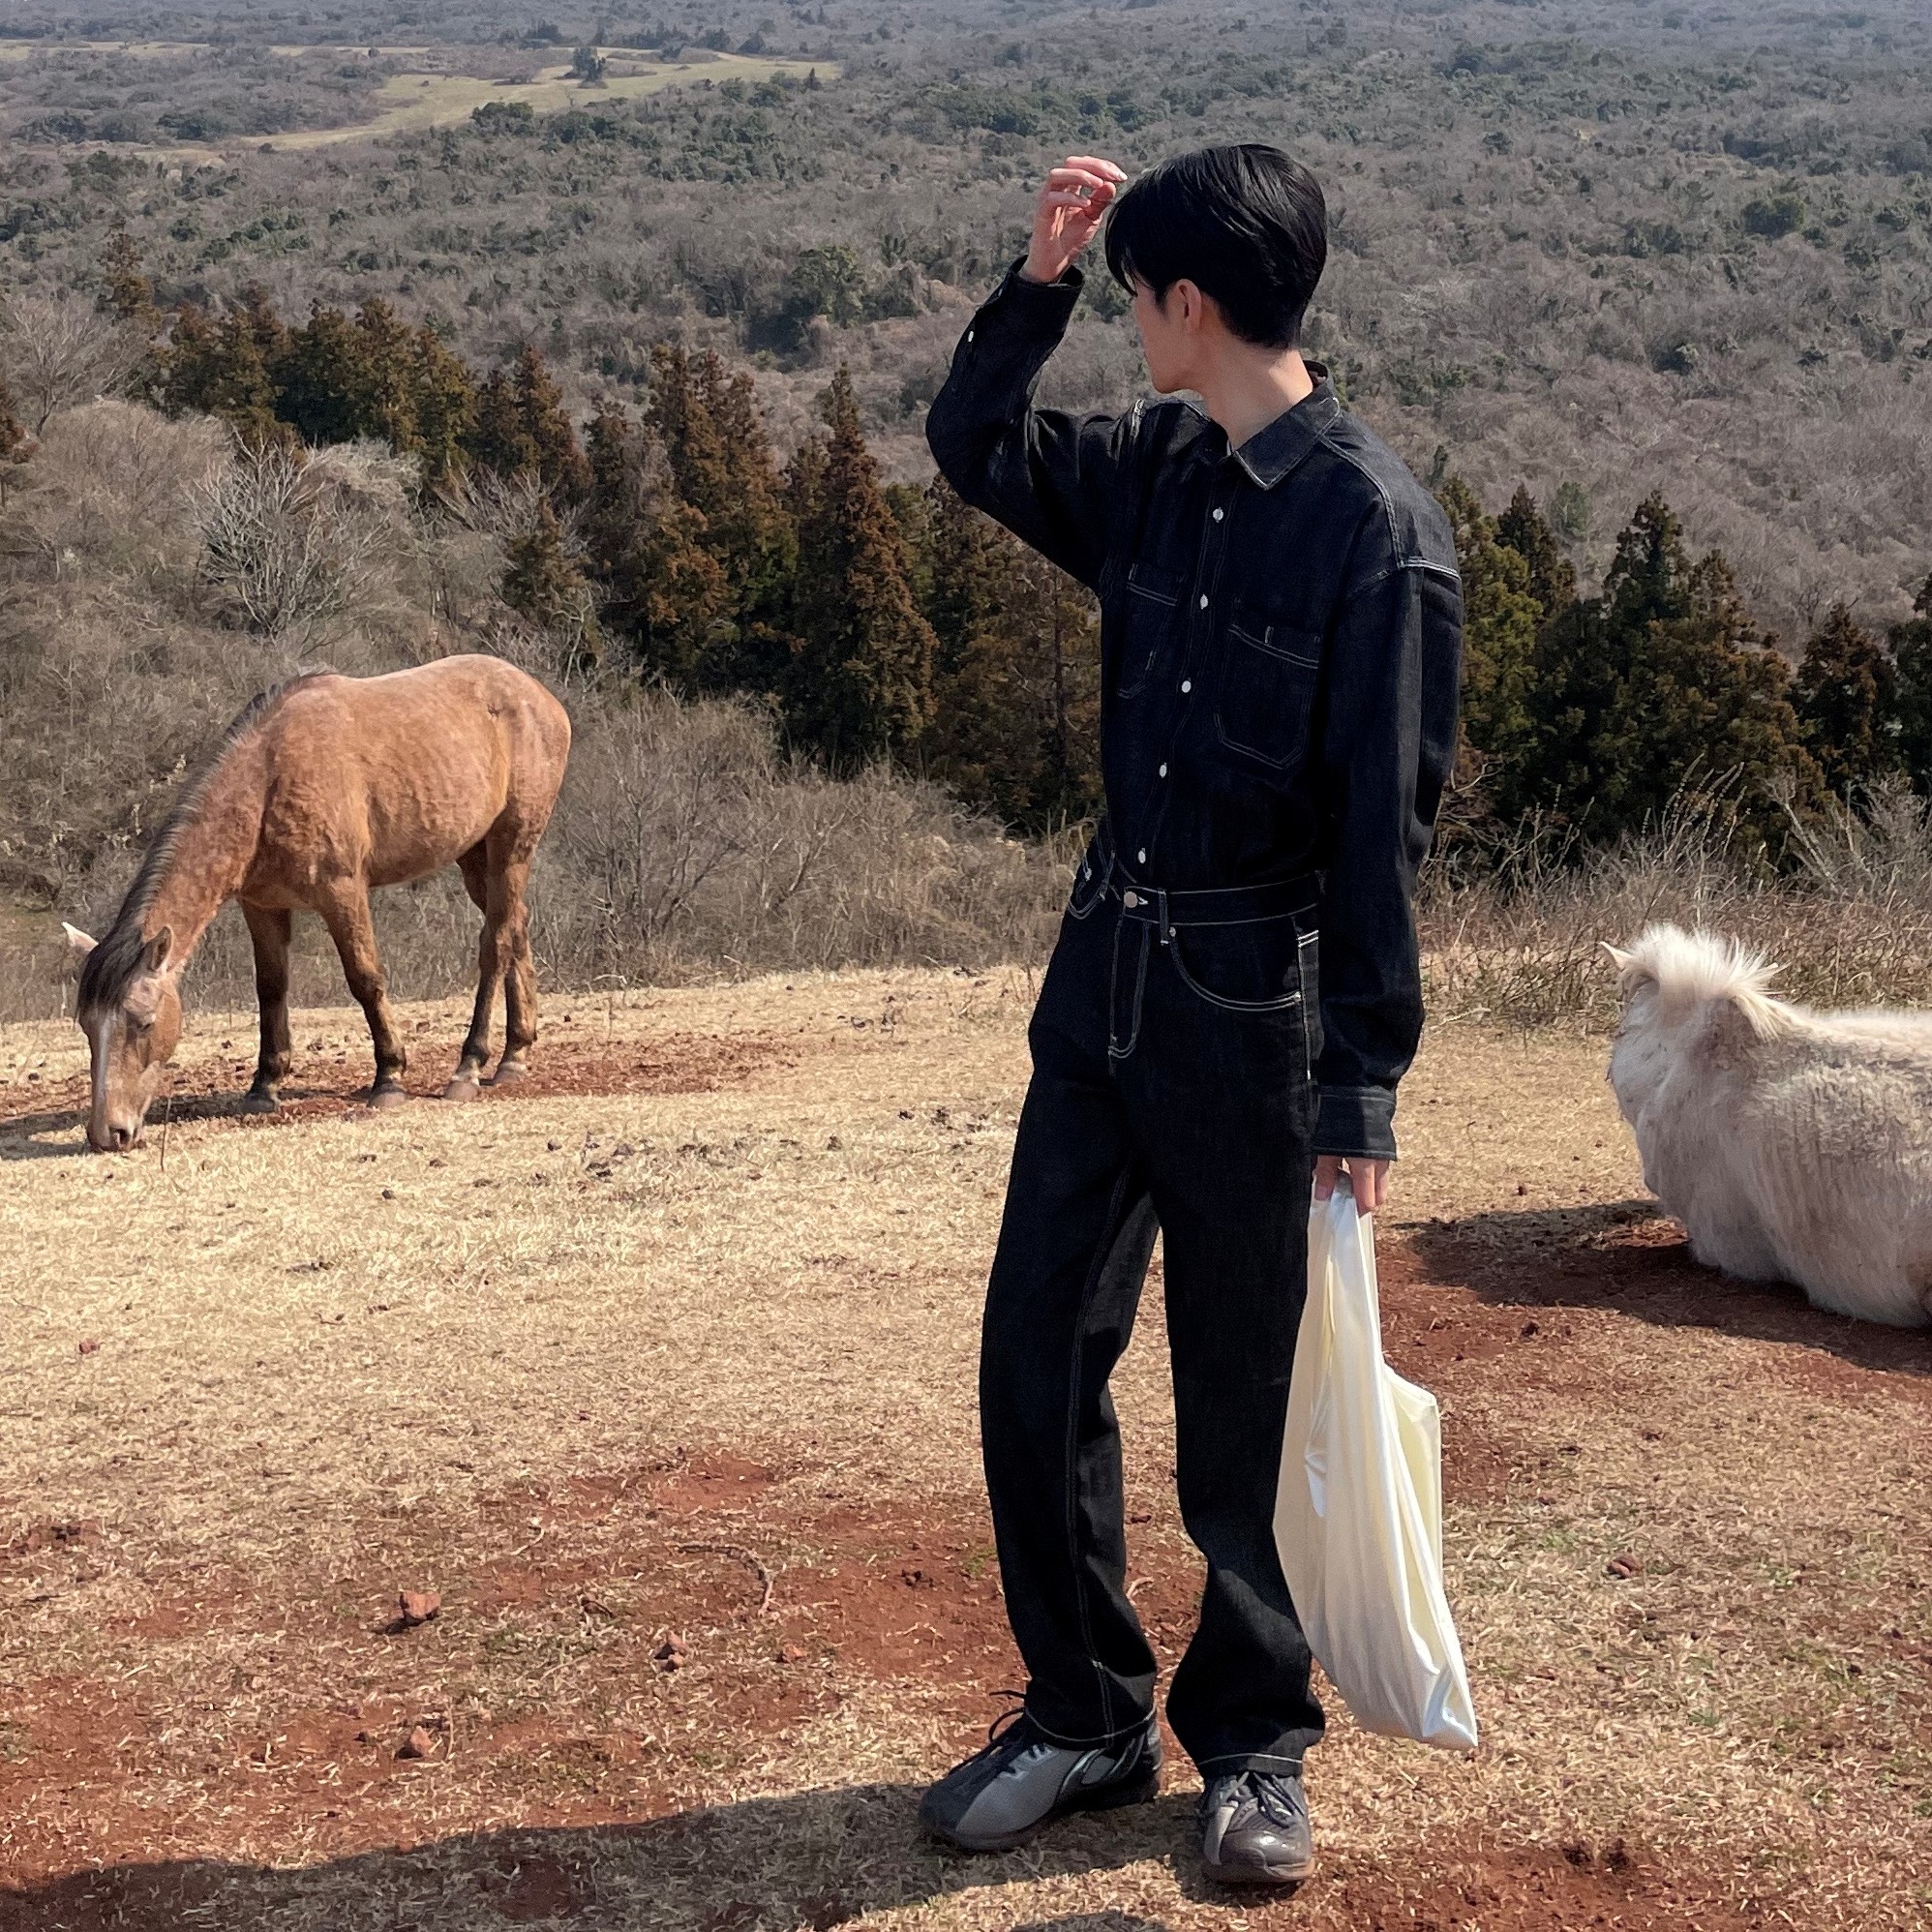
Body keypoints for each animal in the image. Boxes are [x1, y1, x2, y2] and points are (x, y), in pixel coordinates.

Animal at [64, 655, 571, 1152]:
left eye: (144, 1023)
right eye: (87, 1026)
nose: (108, 1133)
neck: (268, 782)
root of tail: (539, 696)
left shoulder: (342, 892)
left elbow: (365, 978)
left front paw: (389, 1077)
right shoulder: (261, 907)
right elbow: (270, 989)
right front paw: (264, 1086)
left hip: (511, 847)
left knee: (495, 944)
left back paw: (470, 1066)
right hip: (475, 856)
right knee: (516, 928)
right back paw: (515, 1055)